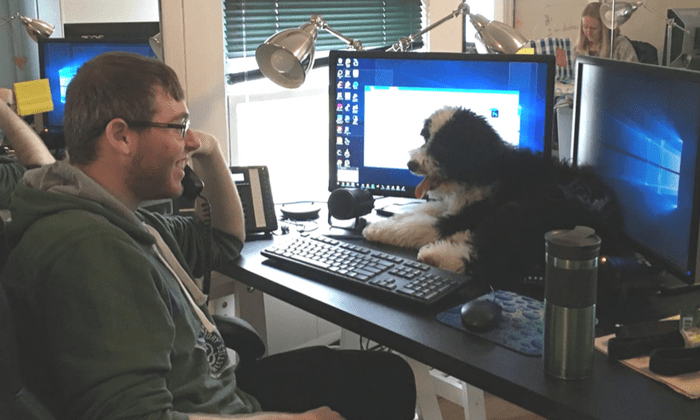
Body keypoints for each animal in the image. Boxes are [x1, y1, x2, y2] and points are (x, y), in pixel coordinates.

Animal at [364, 105, 620, 296]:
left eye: (443, 146)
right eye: (426, 138)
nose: (411, 164)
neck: (482, 169)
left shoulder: (473, 211)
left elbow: (420, 225)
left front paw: (375, 230)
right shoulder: (455, 207)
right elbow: (421, 213)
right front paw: (385, 222)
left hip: (522, 211)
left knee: (492, 260)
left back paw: (437, 254)